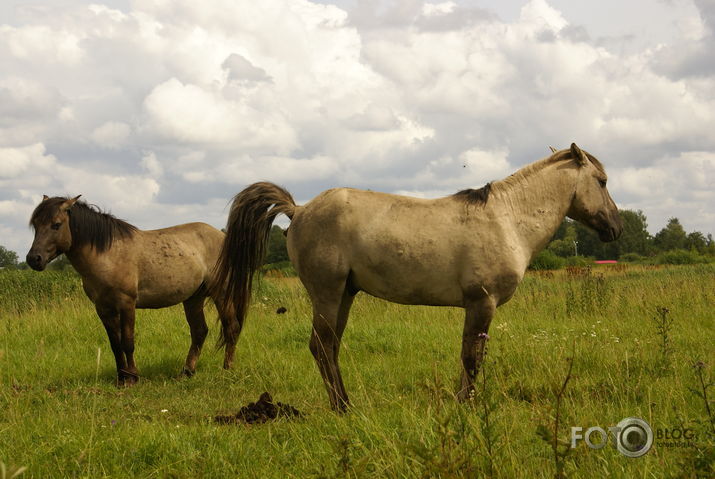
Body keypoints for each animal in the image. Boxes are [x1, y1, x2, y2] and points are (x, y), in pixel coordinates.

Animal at [26, 196, 239, 386]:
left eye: (56, 224)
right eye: (35, 224)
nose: (33, 259)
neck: (109, 255)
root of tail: (223, 238)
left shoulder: (126, 304)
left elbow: (127, 342)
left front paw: (132, 377)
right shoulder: (103, 309)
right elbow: (115, 344)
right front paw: (121, 377)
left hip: (221, 293)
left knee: (231, 327)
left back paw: (227, 369)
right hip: (193, 298)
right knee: (199, 331)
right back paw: (187, 372)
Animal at [213, 142, 620, 408]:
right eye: (601, 181)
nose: (615, 227)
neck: (506, 219)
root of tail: (298, 210)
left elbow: (472, 356)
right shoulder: (481, 302)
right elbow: (471, 358)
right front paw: (464, 405)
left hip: (344, 294)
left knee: (330, 347)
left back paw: (346, 403)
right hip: (327, 294)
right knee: (322, 346)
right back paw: (342, 408)